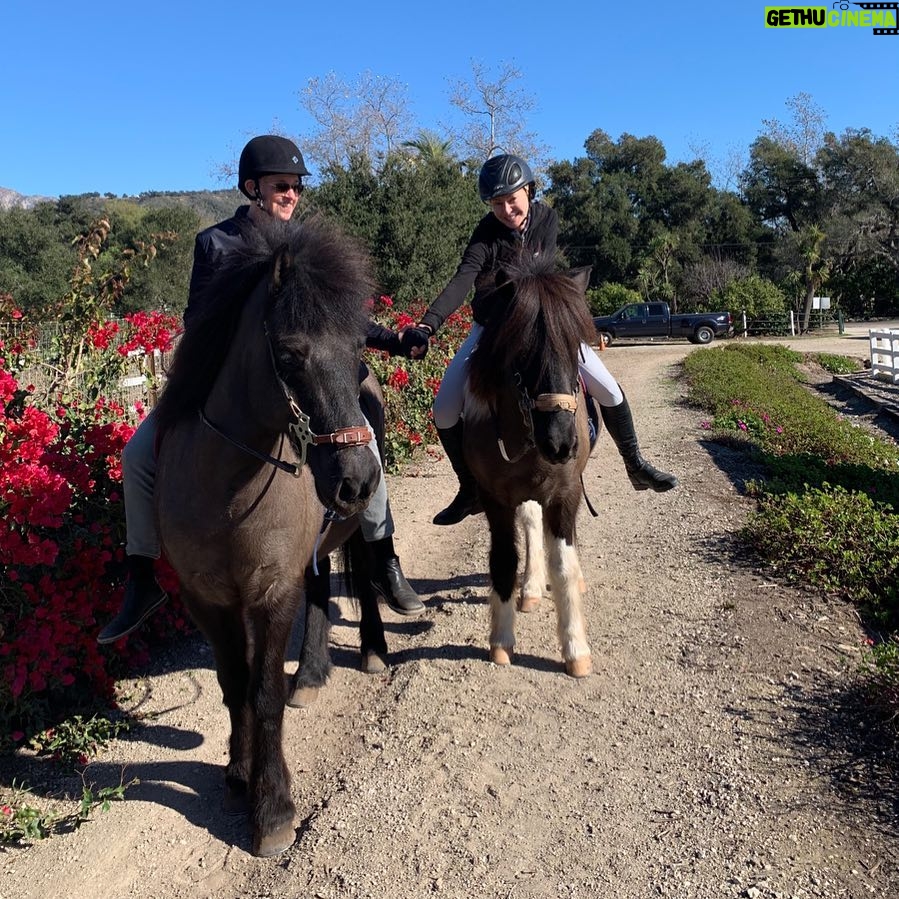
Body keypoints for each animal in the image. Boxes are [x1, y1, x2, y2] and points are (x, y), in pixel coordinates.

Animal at [156, 216, 386, 856]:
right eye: (289, 353)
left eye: (357, 350)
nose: (357, 479)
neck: (226, 490)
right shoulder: (207, 598)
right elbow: (235, 682)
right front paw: (238, 774)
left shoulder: (271, 590)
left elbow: (264, 696)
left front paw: (273, 806)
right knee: (321, 591)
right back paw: (309, 674)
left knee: (363, 576)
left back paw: (372, 651)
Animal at [464, 256, 596, 680]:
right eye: (521, 352)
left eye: (577, 348)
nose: (561, 443)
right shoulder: (496, 499)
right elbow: (504, 561)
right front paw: (502, 641)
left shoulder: (566, 494)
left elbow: (564, 565)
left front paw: (575, 650)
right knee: (531, 523)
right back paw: (531, 588)